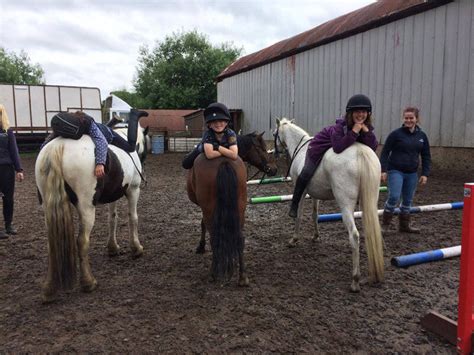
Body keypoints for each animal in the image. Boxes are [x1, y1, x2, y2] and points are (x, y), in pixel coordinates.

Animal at [35, 125, 147, 304]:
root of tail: (58, 146)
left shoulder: (113, 195)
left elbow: (112, 219)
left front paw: (112, 247)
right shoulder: (133, 190)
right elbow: (133, 218)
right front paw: (136, 248)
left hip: (48, 208)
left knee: (51, 244)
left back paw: (49, 290)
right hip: (86, 207)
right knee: (82, 241)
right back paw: (88, 282)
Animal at [187, 156, 250, 286]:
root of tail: (224, 161)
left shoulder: (205, 210)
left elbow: (202, 224)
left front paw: (201, 247)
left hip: (209, 209)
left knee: (215, 239)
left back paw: (212, 274)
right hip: (240, 209)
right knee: (240, 239)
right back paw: (242, 277)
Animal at [274, 118, 386, 294]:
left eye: (275, 133)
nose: (276, 152)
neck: (302, 148)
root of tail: (360, 153)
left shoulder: (301, 189)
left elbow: (298, 215)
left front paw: (294, 239)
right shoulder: (314, 193)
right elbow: (315, 215)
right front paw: (316, 236)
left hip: (345, 205)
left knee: (354, 235)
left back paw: (355, 280)